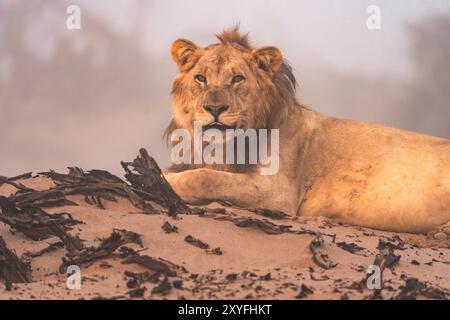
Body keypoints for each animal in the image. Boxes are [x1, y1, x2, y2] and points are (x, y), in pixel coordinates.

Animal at [164, 26, 450, 238]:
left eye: (237, 79)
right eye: (201, 78)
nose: (214, 108)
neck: (224, 146)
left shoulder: (277, 193)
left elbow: (203, 178)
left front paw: (166, 180)